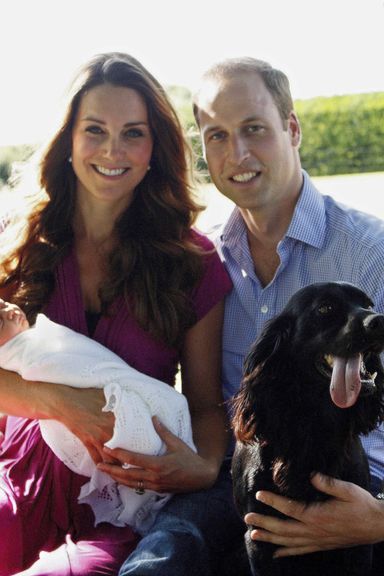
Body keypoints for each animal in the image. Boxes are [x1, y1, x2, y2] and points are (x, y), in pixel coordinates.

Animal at [231, 282, 384, 576]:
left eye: (368, 304)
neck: (314, 422)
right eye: (325, 308)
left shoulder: (357, 538)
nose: (379, 320)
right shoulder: (258, 537)